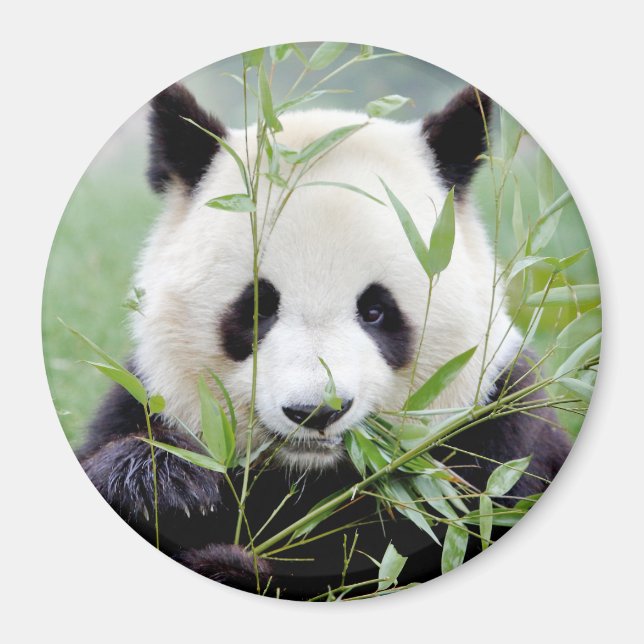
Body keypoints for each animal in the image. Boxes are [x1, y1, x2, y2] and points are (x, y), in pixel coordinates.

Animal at [78, 81, 572, 600]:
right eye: (258, 307)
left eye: (375, 311)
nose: (316, 411)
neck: (308, 473)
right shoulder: (150, 399)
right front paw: (167, 487)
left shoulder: (493, 435)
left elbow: (412, 551)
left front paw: (231, 566)